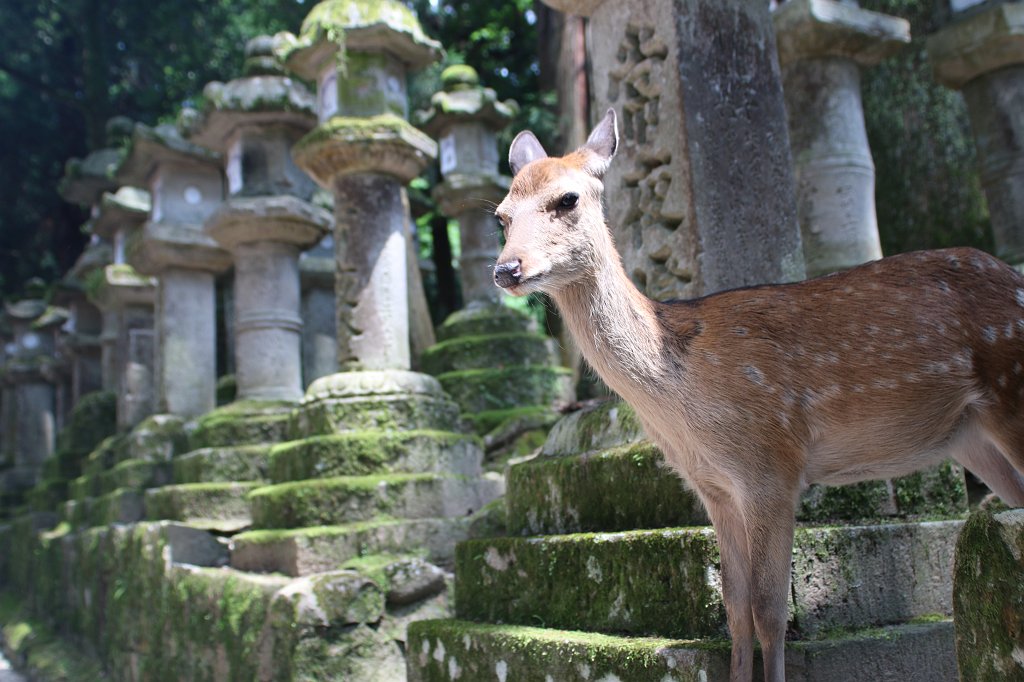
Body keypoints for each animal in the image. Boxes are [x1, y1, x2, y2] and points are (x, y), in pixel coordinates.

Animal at [491, 106, 1024, 679]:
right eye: (501, 216)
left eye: (567, 199)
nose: (506, 268)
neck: (677, 392)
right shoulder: (715, 488)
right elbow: (735, 611)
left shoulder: (771, 466)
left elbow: (770, 612)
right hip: (969, 435)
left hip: (1011, 390)